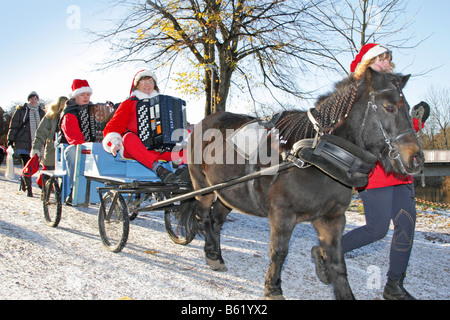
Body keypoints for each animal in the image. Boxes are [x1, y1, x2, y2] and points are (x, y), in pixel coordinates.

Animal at [185, 68, 424, 300]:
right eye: (389, 108)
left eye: (410, 109)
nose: (416, 158)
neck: (316, 156)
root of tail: (205, 121)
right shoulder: (282, 215)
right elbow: (279, 252)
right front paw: (273, 289)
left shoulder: (332, 219)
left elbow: (338, 262)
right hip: (202, 186)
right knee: (203, 216)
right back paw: (211, 253)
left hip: (228, 193)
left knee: (216, 221)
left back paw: (217, 254)